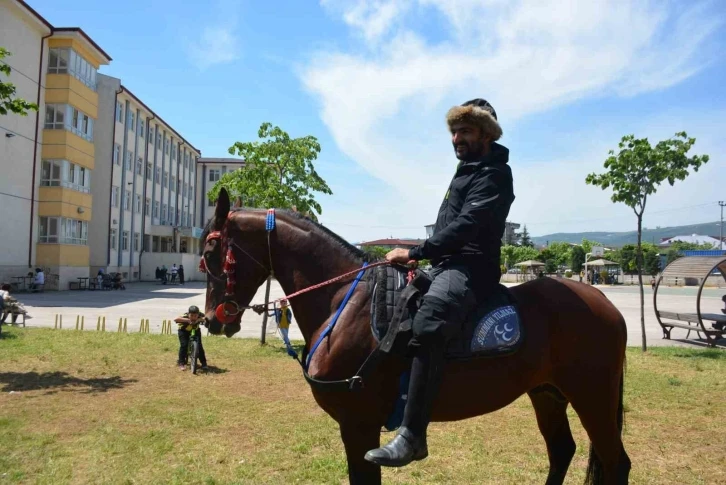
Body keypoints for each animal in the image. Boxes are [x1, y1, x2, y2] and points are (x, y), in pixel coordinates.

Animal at [203, 189, 632, 484]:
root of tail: (604, 303)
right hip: (547, 393)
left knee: (616, 463)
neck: (344, 301)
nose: (212, 321)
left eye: (209, 254)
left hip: (592, 395)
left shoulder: (358, 427)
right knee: (562, 452)